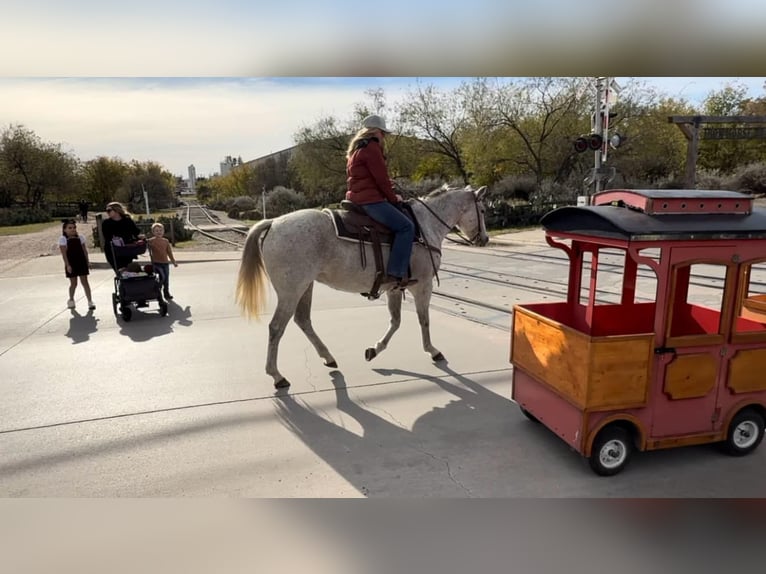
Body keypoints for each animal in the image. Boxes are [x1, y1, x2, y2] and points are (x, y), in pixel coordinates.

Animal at [236, 184, 492, 392]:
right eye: (482, 210)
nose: (485, 239)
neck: (424, 227)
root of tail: (273, 222)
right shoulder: (423, 285)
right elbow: (423, 320)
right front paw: (432, 350)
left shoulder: (394, 288)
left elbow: (395, 321)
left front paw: (375, 350)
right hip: (291, 291)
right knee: (276, 328)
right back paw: (277, 376)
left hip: (305, 286)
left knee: (303, 320)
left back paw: (328, 357)